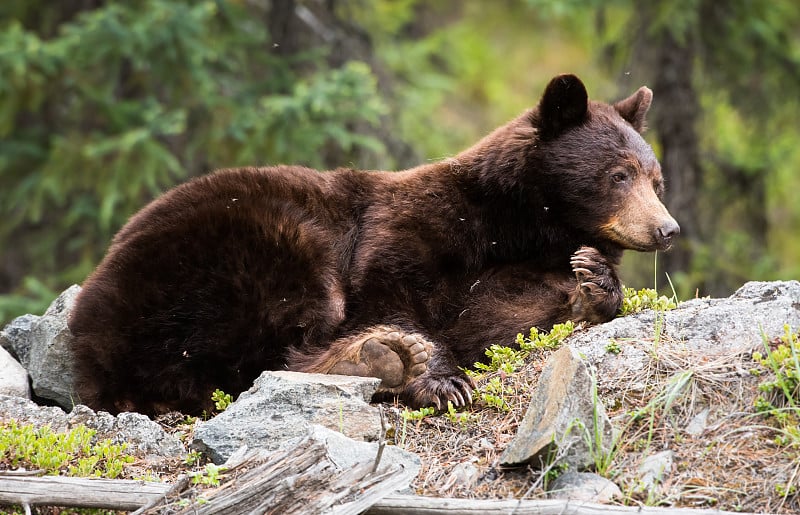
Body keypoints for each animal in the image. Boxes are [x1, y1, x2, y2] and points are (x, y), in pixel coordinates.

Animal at [70, 74, 680, 418]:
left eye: (656, 179)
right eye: (619, 175)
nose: (667, 229)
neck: (515, 224)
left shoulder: (507, 267)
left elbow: (498, 316)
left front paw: (593, 281)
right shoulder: (409, 226)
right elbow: (391, 293)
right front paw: (442, 379)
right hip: (236, 248)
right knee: (276, 334)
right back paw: (379, 355)